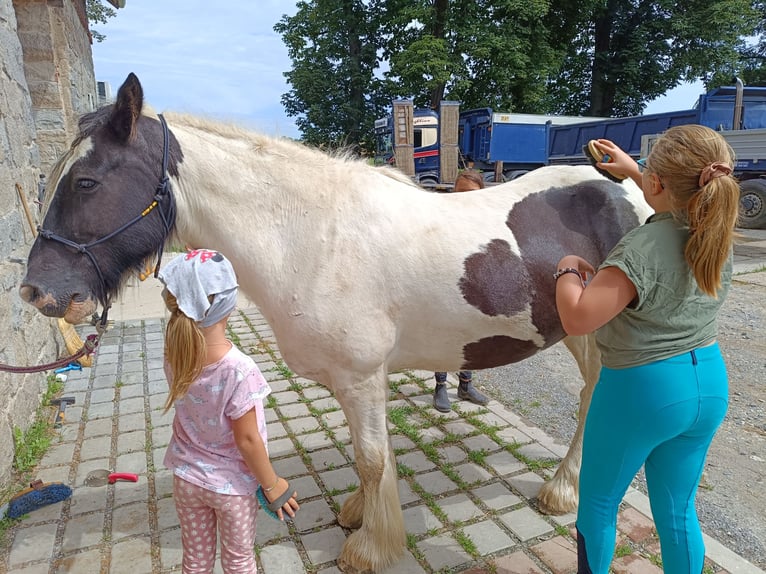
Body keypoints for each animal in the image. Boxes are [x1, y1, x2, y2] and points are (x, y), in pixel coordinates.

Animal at [19, 74, 656, 572]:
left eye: (87, 182)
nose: (37, 291)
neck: (311, 234)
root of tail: (629, 185)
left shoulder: (361, 376)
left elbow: (373, 458)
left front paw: (370, 547)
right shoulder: (355, 383)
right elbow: (367, 455)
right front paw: (357, 515)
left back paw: (562, 490)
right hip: (582, 333)